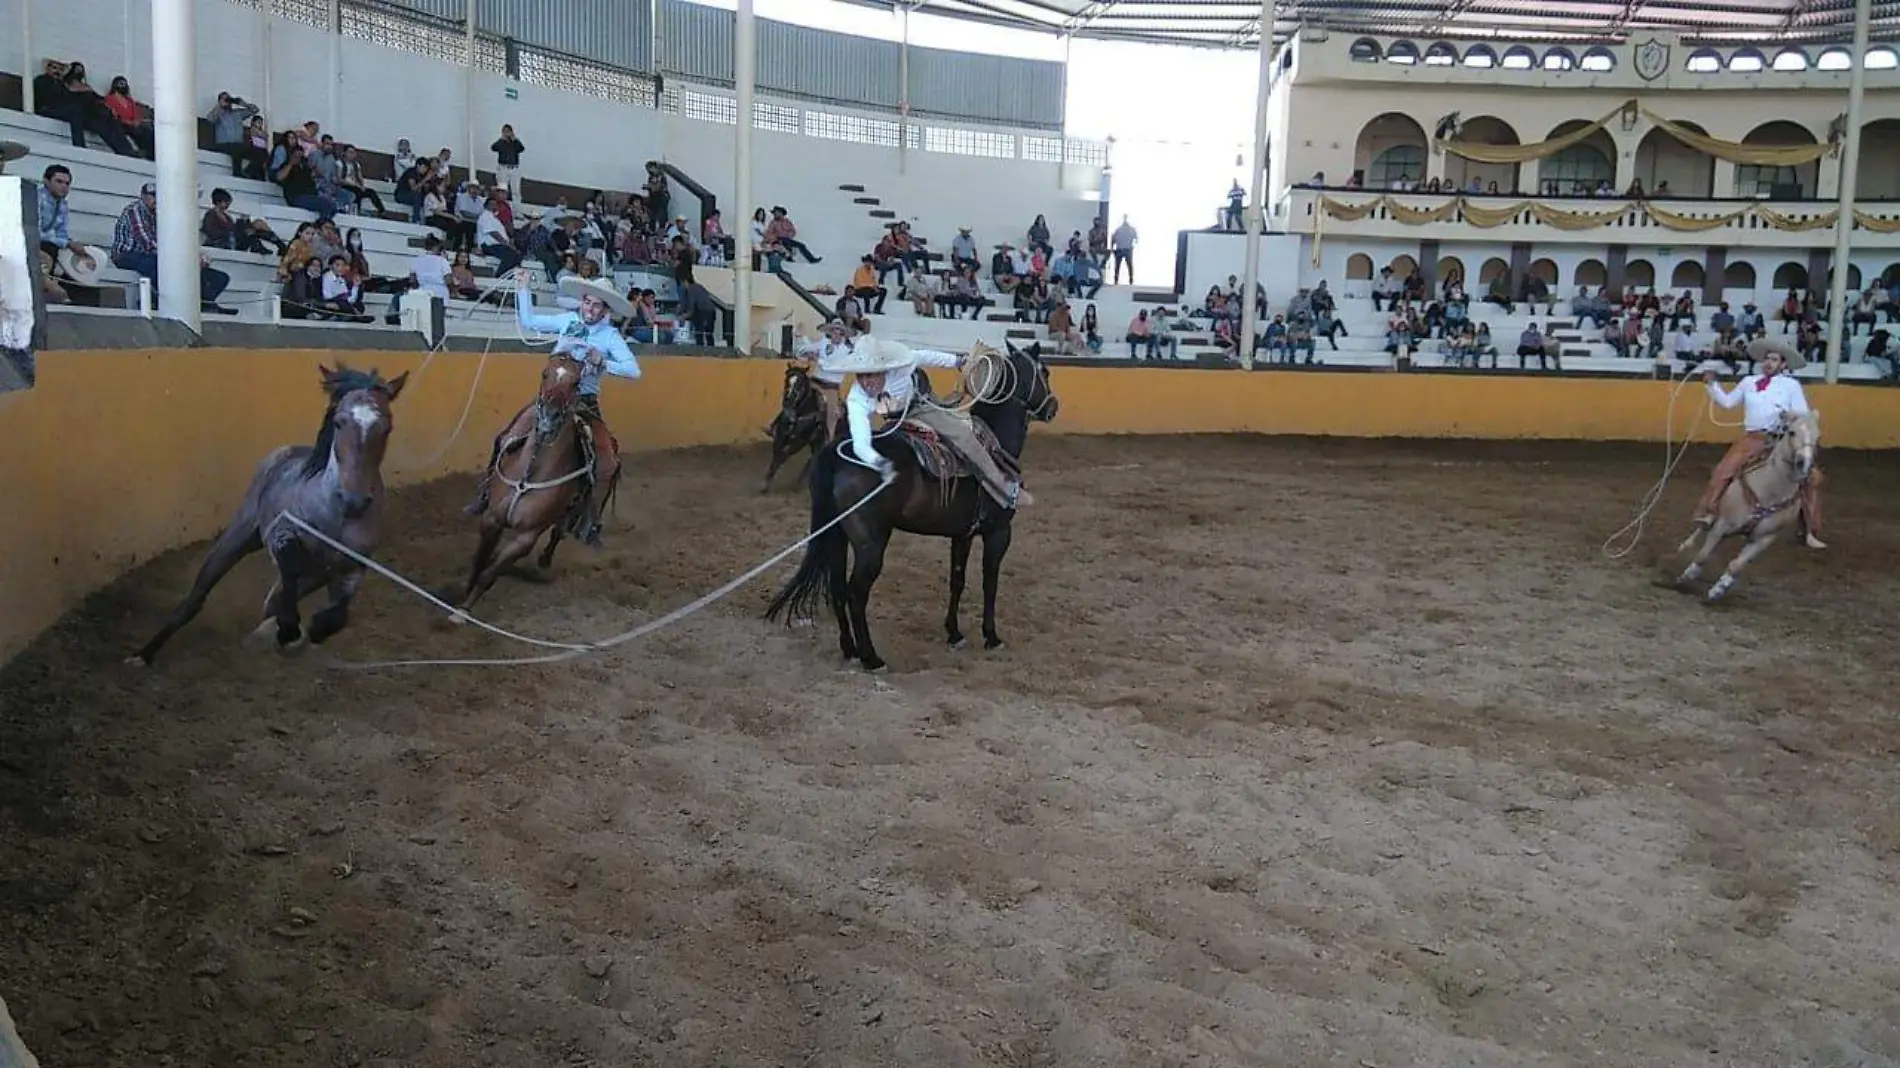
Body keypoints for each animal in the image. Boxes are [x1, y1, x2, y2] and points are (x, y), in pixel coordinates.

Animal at [128, 361, 410, 661]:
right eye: (339, 421)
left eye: (387, 427)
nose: (354, 500)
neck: (334, 515)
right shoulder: (281, 536)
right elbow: (287, 571)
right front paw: (288, 630)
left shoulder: (352, 567)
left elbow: (335, 617)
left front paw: (308, 630)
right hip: (238, 536)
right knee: (196, 598)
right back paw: (142, 656)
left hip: (312, 577)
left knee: (271, 604)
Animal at [450, 351, 604, 611]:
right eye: (545, 373)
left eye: (576, 382)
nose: (549, 416)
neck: (530, 472)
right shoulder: (491, 519)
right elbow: (480, 561)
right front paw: (461, 597)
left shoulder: (526, 537)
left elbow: (490, 574)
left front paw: (463, 611)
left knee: (559, 531)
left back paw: (545, 560)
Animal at [760, 357, 836, 490]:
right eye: (786, 378)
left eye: (800, 382)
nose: (788, 400)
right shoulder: (780, 435)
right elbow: (776, 456)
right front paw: (766, 481)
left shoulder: (799, 441)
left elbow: (782, 456)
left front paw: (765, 484)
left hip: (818, 442)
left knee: (813, 459)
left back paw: (799, 483)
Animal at [1672, 408, 1816, 600]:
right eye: (1791, 432)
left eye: (1817, 436)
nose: (1803, 464)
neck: (1770, 491)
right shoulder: (1723, 525)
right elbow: (1703, 555)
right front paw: (1685, 577)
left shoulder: (1765, 538)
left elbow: (1737, 565)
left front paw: (1718, 590)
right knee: (1703, 525)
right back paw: (1685, 545)